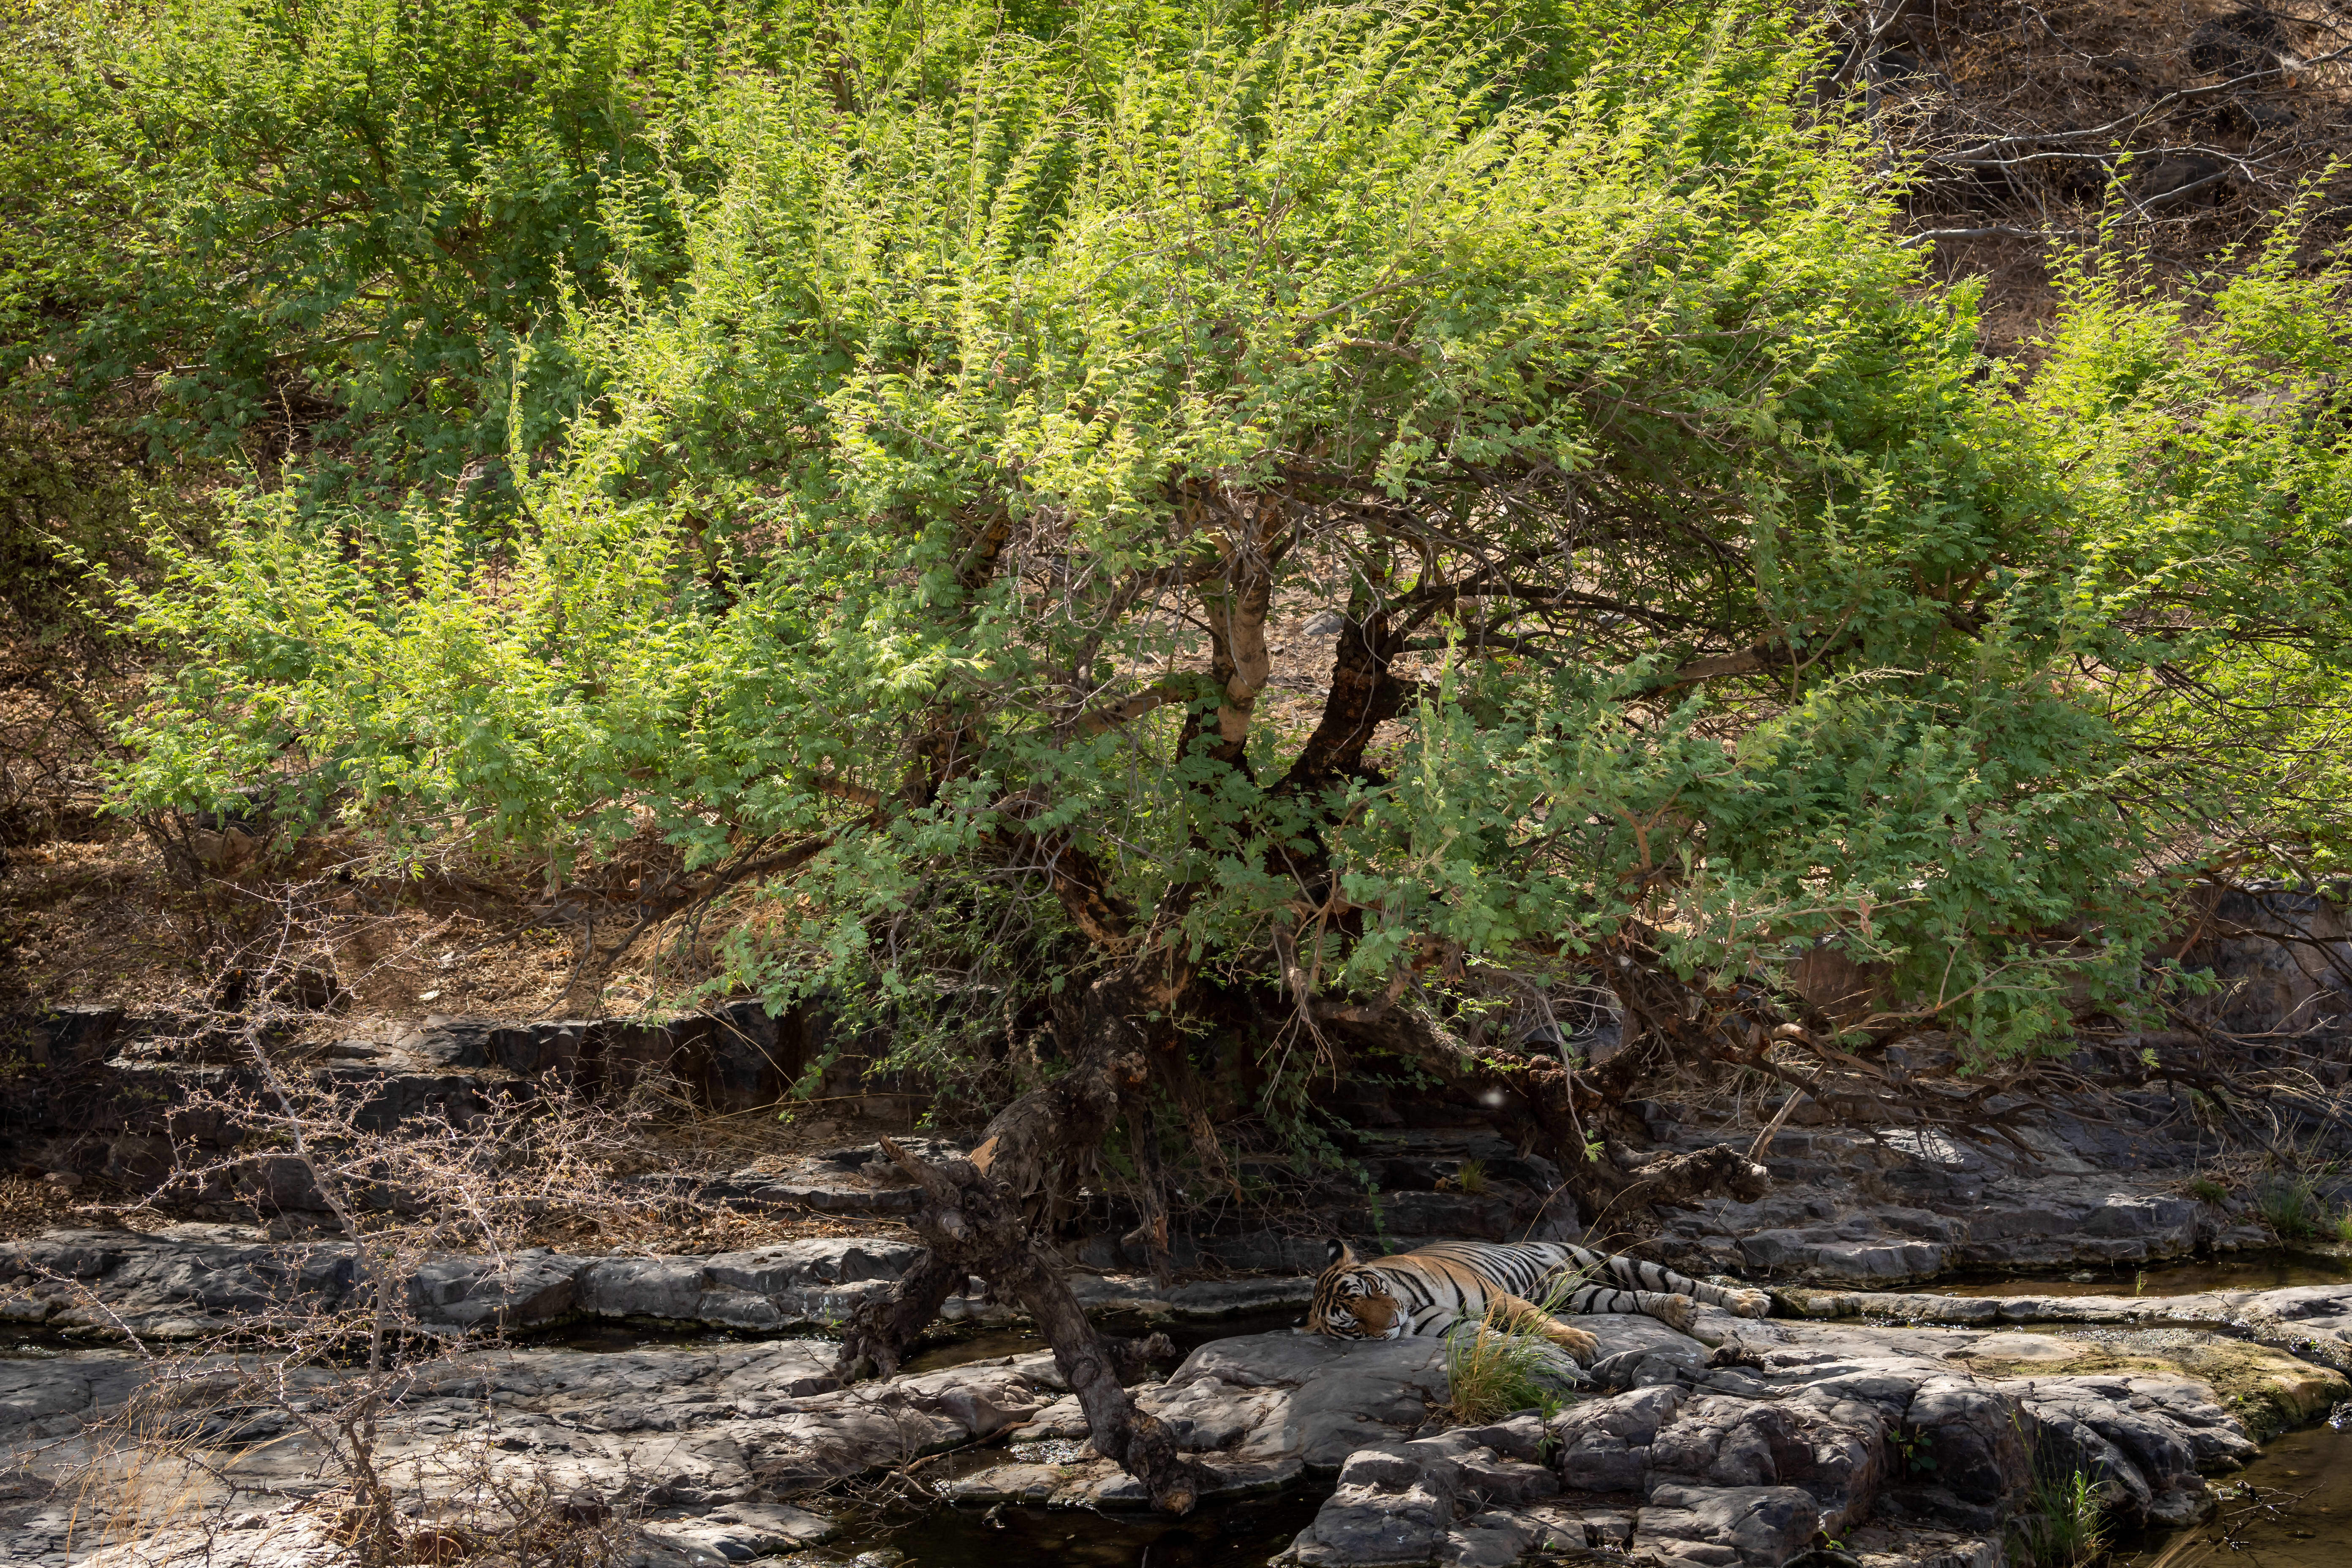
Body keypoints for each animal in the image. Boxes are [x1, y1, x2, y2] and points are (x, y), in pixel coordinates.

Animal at [1305, 1239, 1774, 1362]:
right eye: (1352, 1324)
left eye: (1370, 1291)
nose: (1390, 1324)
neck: (1411, 1304)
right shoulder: (1450, 1324)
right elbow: (1487, 1338)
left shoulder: (1496, 1296)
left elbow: (1536, 1321)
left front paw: (1578, 1344)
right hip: (1583, 1294)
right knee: (1636, 1298)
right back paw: (1678, 1312)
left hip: (1610, 1260)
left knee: (1681, 1280)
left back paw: (1747, 1299)